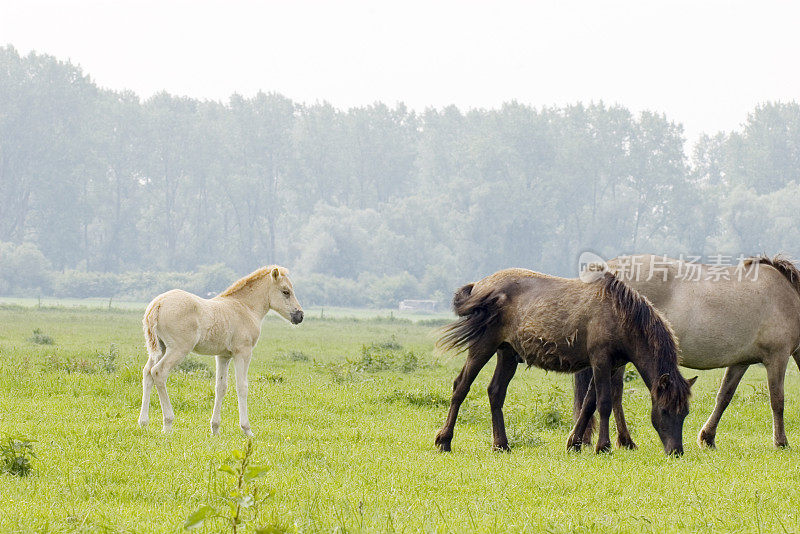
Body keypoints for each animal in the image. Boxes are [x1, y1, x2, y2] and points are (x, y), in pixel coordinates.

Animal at [136, 266, 302, 438]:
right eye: (286, 292)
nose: (300, 316)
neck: (245, 308)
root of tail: (158, 303)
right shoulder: (243, 353)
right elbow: (242, 387)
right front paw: (247, 429)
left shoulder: (223, 356)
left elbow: (221, 387)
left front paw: (215, 428)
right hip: (178, 349)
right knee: (158, 372)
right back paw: (168, 423)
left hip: (160, 349)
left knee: (147, 373)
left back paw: (143, 422)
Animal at [438, 268, 692, 456]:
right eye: (665, 410)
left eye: (685, 413)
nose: (676, 452)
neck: (619, 315)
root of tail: (479, 286)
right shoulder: (601, 361)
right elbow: (603, 403)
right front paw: (603, 447)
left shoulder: (611, 366)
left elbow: (589, 404)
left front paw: (575, 443)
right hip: (483, 345)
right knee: (461, 386)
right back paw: (444, 440)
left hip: (507, 353)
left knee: (496, 392)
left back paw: (501, 445)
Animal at [572, 255, 800, 452]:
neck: (788, 298)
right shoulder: (777, 357)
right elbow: (777, 400)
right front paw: (781, 442)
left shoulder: (740, 362)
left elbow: (724, 396)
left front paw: (707, 437)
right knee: (616, 394)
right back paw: (626, 441)